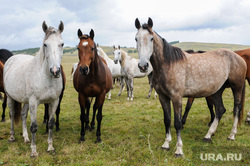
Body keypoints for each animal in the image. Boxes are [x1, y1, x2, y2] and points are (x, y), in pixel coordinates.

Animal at [3, 21, 64, 157]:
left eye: (62, 44)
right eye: (45, 44)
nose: (55, 71)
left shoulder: (54, 101)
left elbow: (51, 124)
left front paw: (50, 147)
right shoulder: (34, 102)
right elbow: (34, 127)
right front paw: (34, 151)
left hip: (26, 101)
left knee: (23, 115)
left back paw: (26, 138)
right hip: (10, 97)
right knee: (12, 114)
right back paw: (12, 137)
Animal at [135, 17, 246, 158]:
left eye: (151, 39)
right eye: (136, 39)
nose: (143, 66)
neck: (168, 64)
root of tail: (239, 58)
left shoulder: (177, 98)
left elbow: (177, 123)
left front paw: (179, 150)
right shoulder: (163, 98)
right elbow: (167, 120)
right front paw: (166, 144)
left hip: (237, 87)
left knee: (236, 109)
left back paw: (231, 135)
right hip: (217, 91)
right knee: (220, 110)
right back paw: (208, 135)